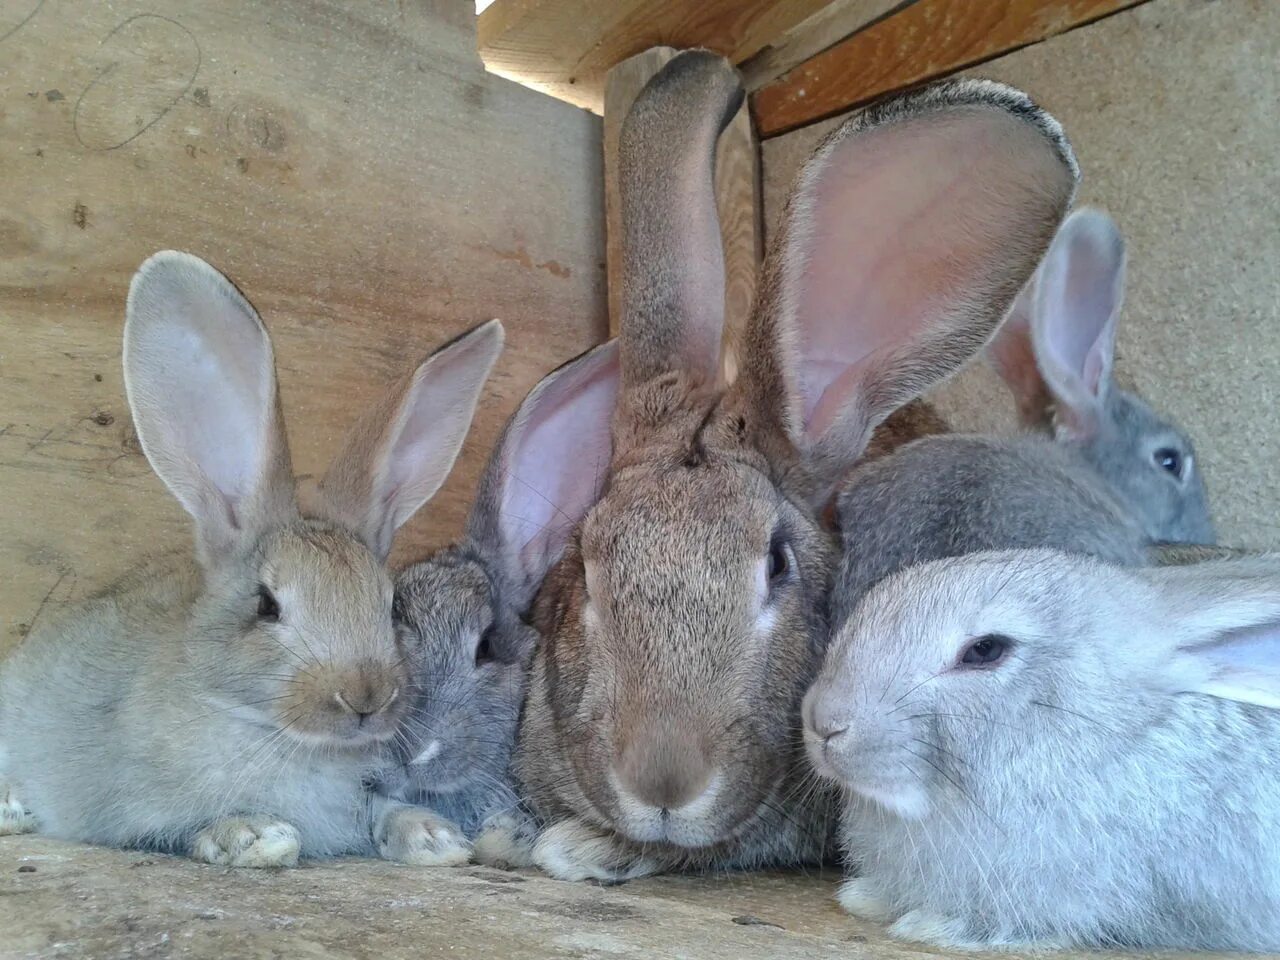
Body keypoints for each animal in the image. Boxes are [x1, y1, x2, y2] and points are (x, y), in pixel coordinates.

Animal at [0, 252, 504, 870]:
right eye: (267, 605)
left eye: (390, 609)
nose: (365, 697)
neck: (279, 733)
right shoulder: (131, 807)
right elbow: (181, 830)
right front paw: (256, 836)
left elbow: (386, 812)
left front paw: (437, 839)